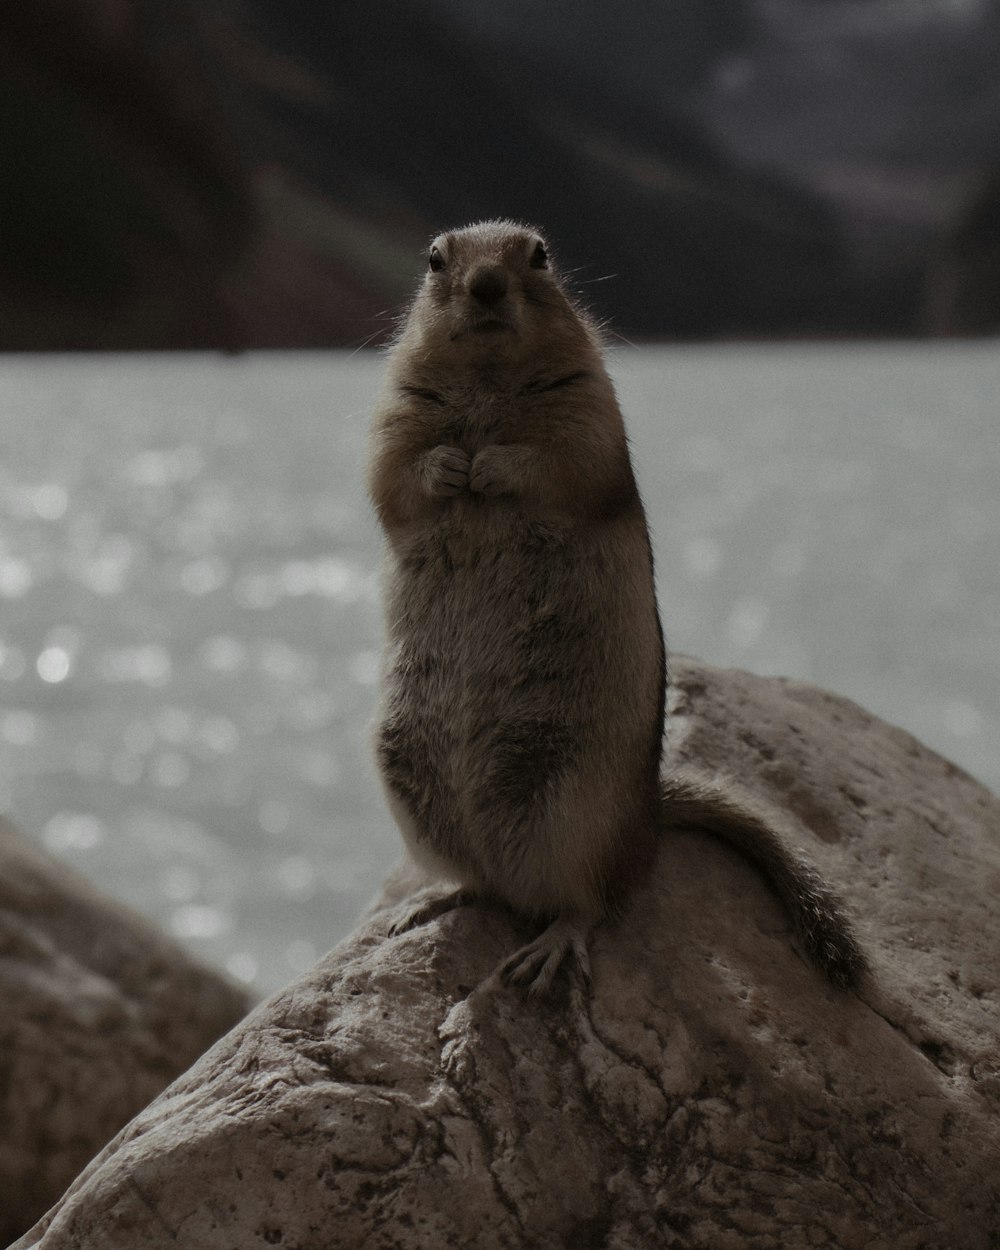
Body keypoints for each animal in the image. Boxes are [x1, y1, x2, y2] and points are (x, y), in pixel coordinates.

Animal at [370, 217, 865, 995]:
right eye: (434, 258)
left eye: (540, 254)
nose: (486, 284)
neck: (486, 380)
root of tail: (648, 825)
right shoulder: (394, 408)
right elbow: (392, 474)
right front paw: (451, 466)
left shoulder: (590, 408)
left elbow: (565, 463)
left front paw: (492, 464)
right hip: (413, 779)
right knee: (485, 883)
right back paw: (431, 900)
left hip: (575, 803)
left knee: (589, 901)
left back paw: (548, 950)